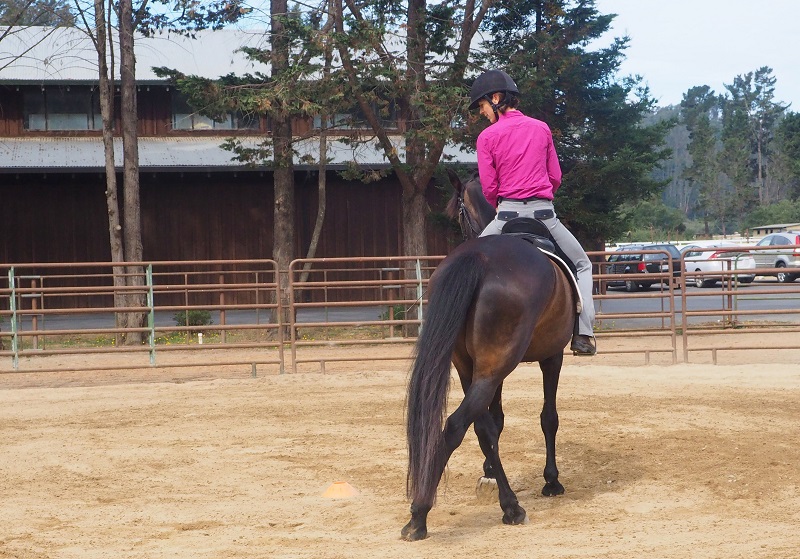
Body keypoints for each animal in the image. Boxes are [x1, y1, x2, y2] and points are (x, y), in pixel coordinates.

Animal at [401, 170, 577, 541]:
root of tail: (479, 257)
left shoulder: (482, 367)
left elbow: (493, 422)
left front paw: (489, 473)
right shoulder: (552, 356)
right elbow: (548, 418)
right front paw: (551, 481)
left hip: (474, 367)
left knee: (478, 425)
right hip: (497, 365)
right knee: (455, 424)